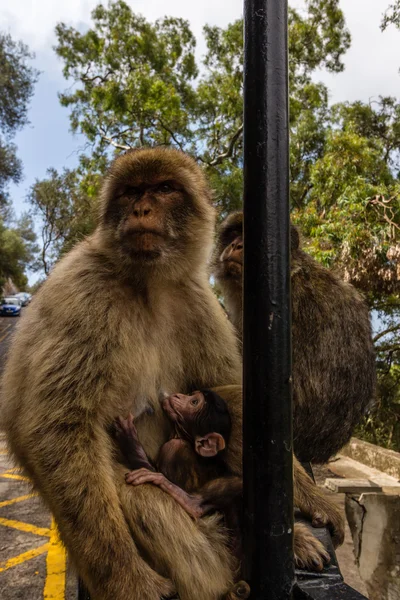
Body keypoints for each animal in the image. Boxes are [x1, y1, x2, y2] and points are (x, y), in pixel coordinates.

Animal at [115, 392, 332, 580]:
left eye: (194, 402)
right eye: (191, 396)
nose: (177, 395)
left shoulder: (172, 449)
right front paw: (132, 443)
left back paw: (191, 503)